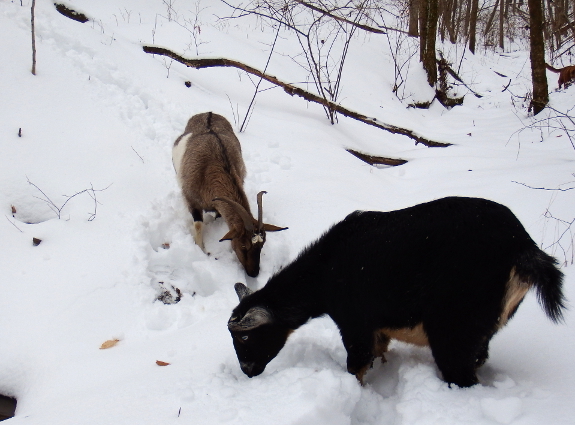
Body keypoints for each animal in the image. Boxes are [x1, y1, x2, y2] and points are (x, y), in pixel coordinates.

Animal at [171, 111, 288, 276]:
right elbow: (199, 225)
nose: (254, 273)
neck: (211, 168)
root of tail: (208, 112)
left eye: (263, 244)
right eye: (243, 245)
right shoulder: (191, 200)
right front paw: (201, 250)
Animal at [230, 197, 568, 386]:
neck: (326, 271)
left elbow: (357, 366)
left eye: (245, 337)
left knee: (459, 371)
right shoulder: (378, 329)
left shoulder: (356, 323)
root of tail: (523, 249)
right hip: (481, 329)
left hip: (454, 329)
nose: (247, 371)